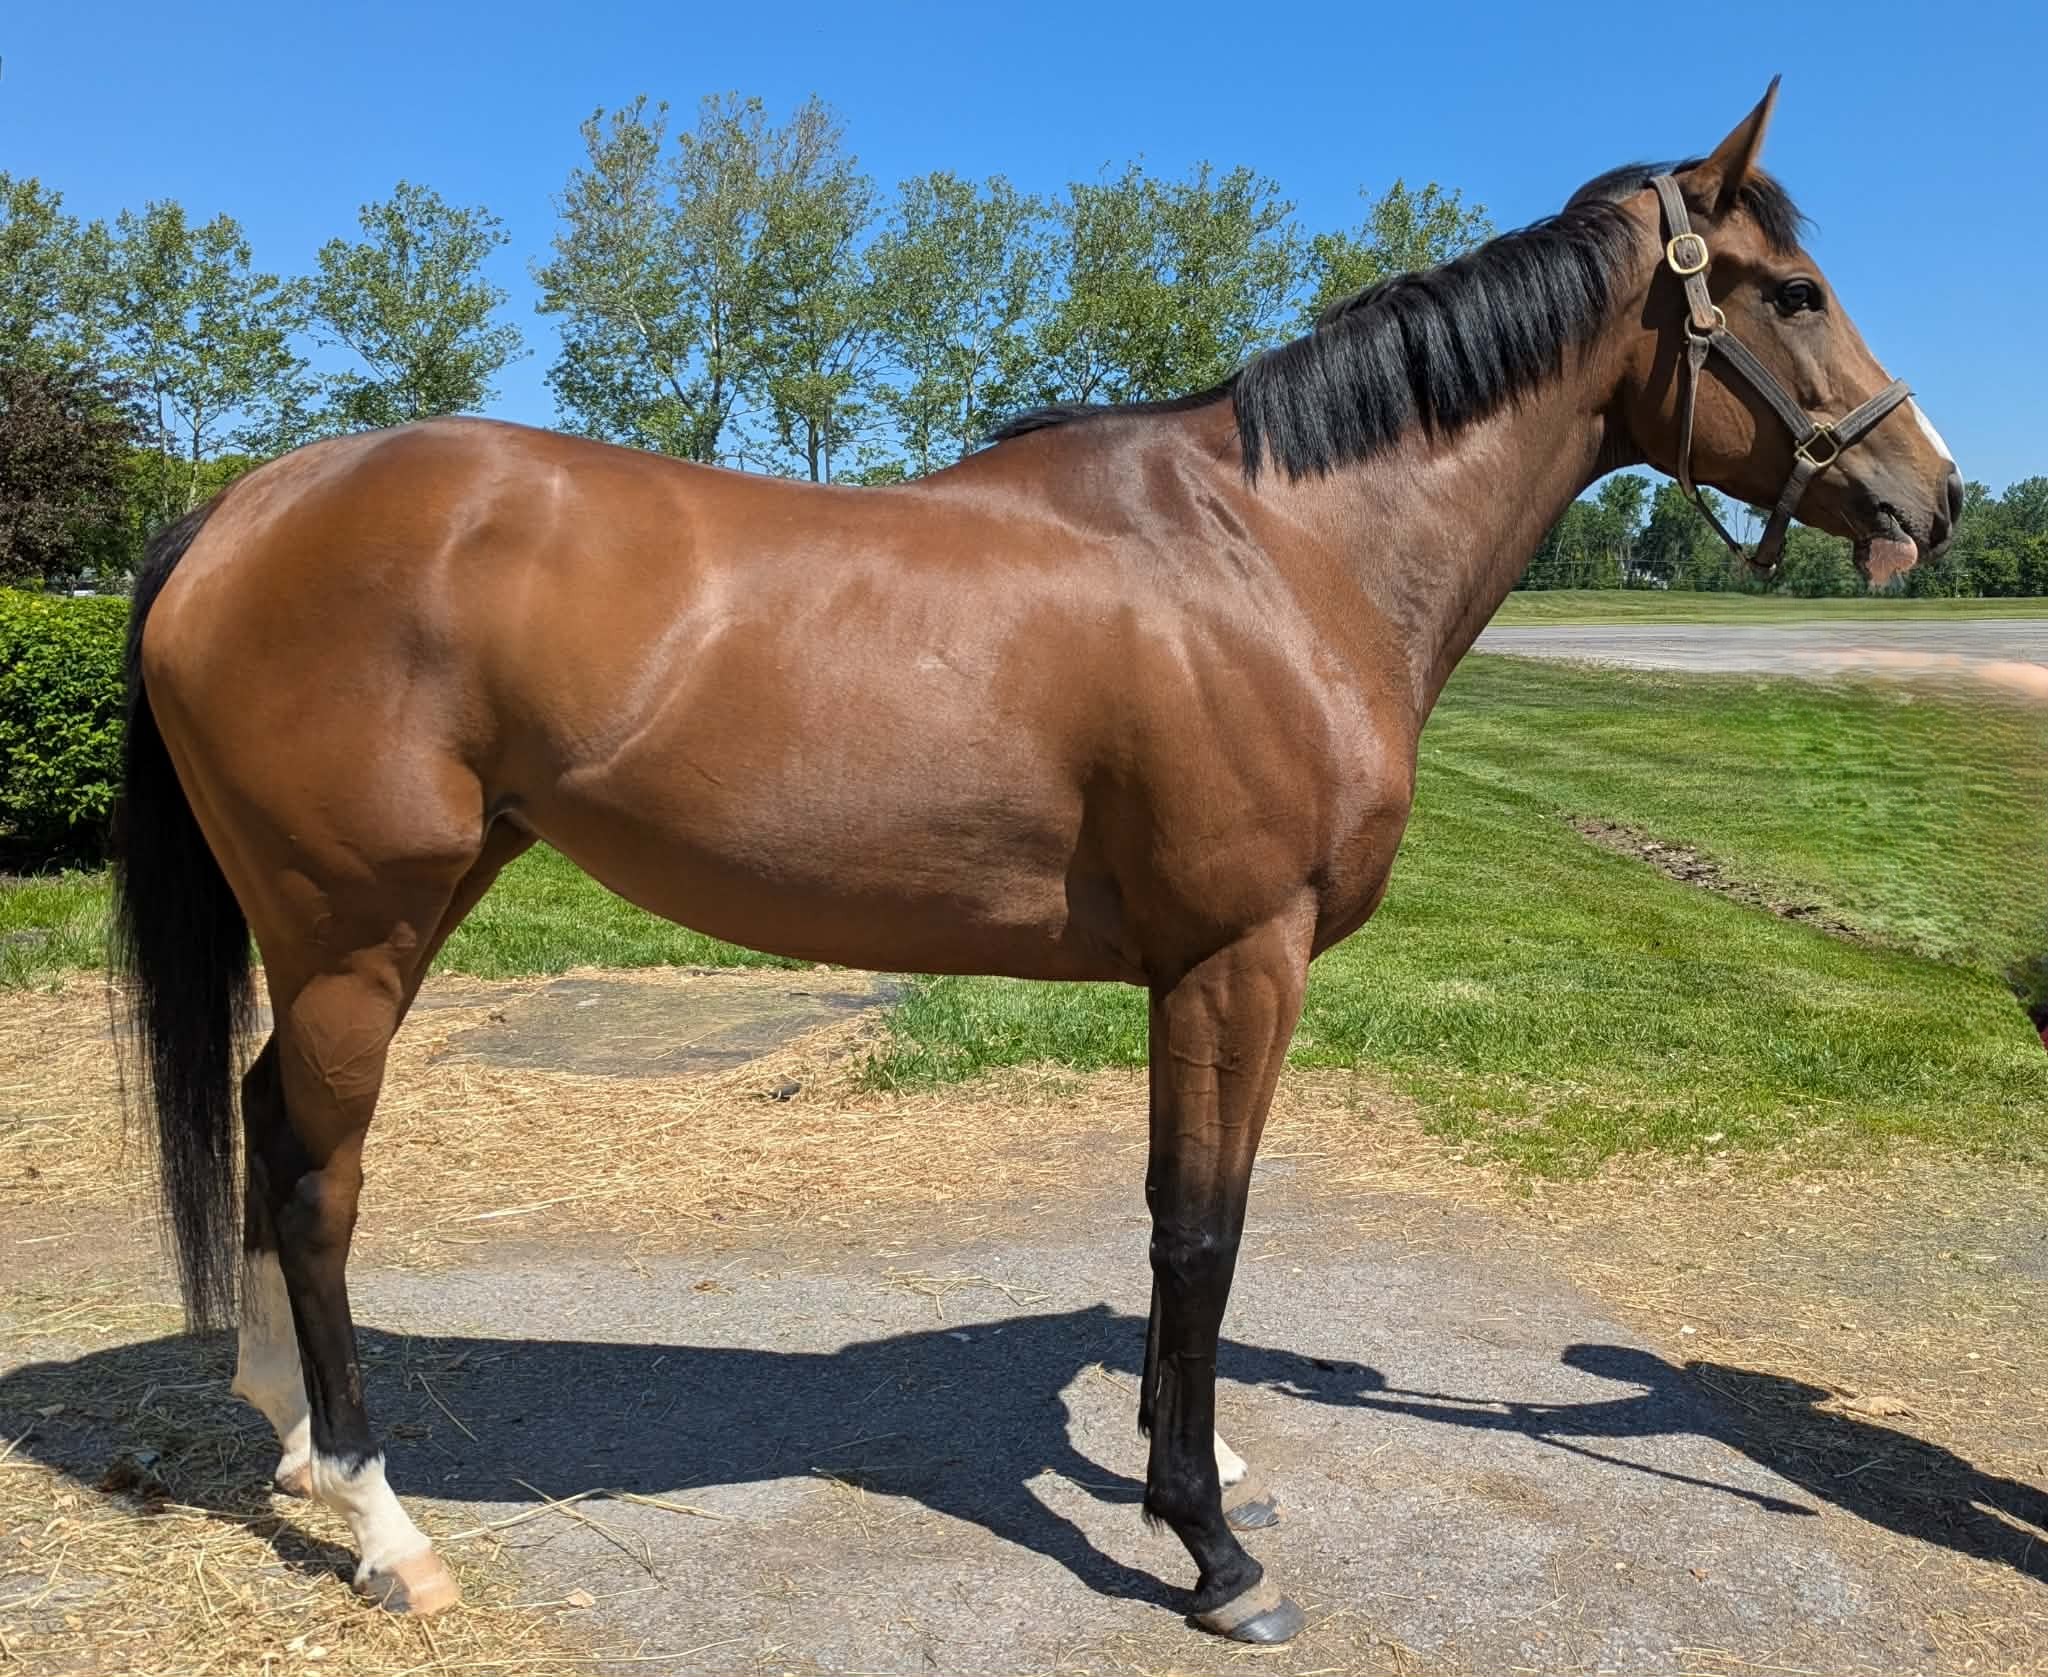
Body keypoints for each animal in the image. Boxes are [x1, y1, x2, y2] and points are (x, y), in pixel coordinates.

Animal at [112, 81, 1959, 1644]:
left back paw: (292, 1444)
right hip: (357, 927)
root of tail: (239, 508)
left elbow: (1170, 1214)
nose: (1929, 497)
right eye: (1793, 291)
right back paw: (381, 1521)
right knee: (317, 1177)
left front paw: (1195, 1471)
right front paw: (1210, 1553)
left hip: (385, 915)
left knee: (273, 1122)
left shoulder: (1190, 972)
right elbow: (1203, 1230)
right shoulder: (1239, 956)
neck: (1277, 552)